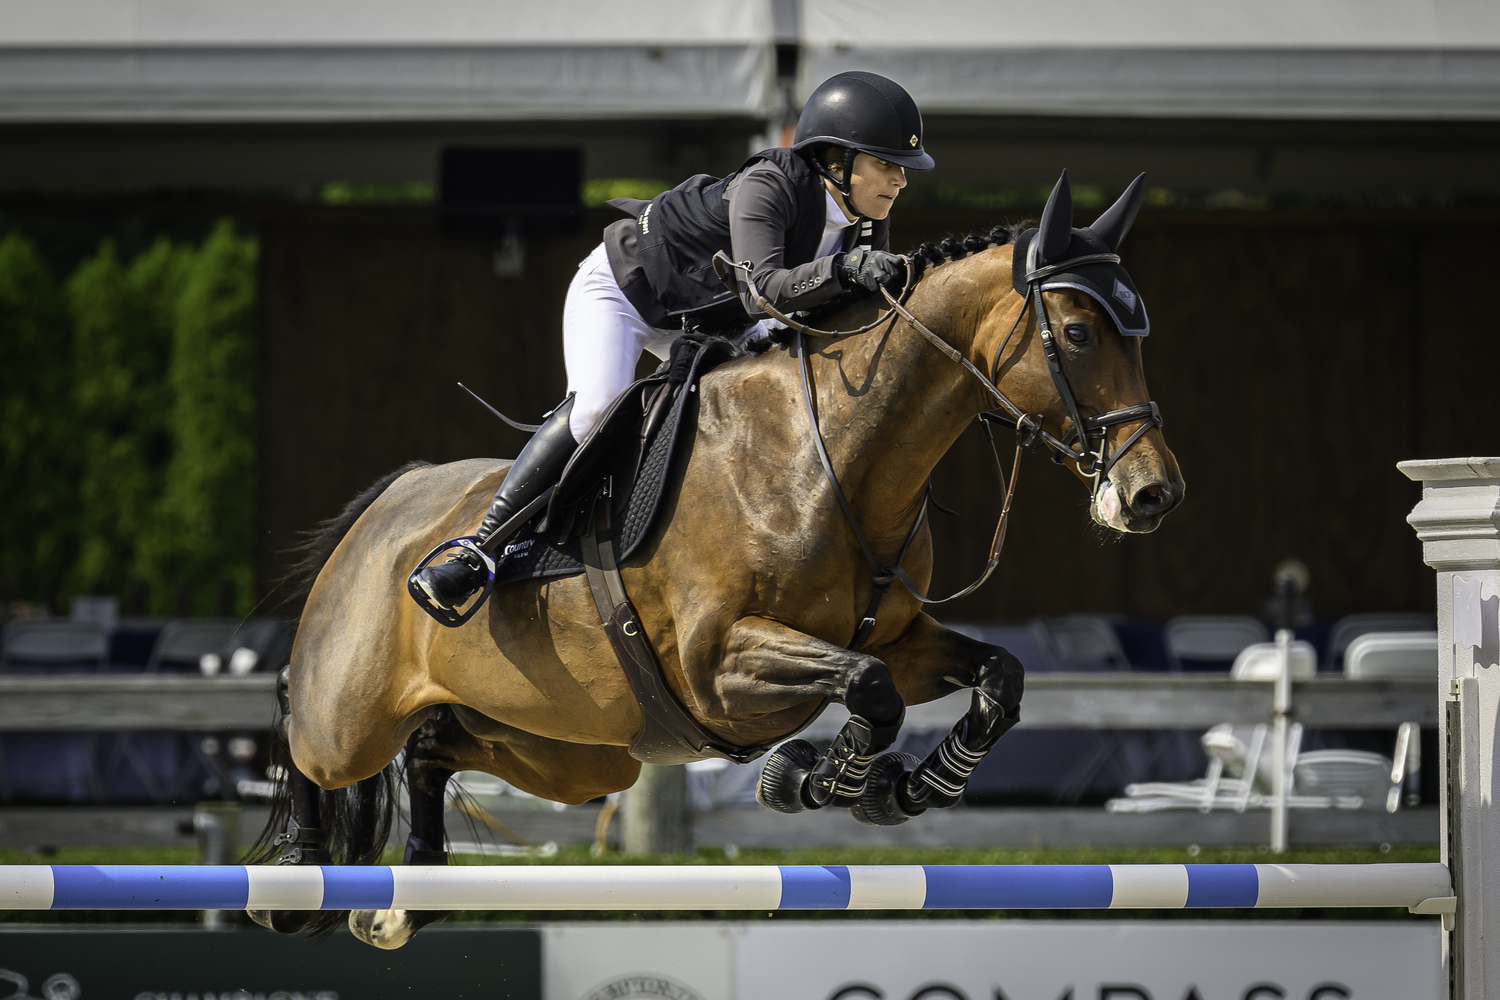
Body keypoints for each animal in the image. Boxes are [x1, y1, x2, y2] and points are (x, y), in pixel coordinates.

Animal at [246, 170, 1182, 947]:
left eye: (1139, 334)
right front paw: (817, 780)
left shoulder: (900, 638)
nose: (1152, 495)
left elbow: (994, 678)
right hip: (354, 709)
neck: (830, 458)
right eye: (1077, 333)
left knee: (433, 747)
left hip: (573, 750)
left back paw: (409, 900)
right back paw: (294, 875)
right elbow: (868, 690)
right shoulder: (717, 663)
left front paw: (903, 790)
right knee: (306, 727)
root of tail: (392, 498)